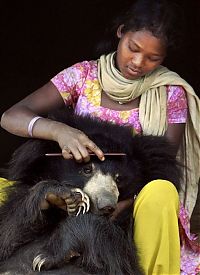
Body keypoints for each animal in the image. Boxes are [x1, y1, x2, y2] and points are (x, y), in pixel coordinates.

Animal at [0, 108, 181, 275]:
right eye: (87, 169)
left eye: (119, 179)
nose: (107, 205)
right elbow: (9, 230)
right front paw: (60, 196)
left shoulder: (123, 226)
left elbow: (117, 256)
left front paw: (45, 257)